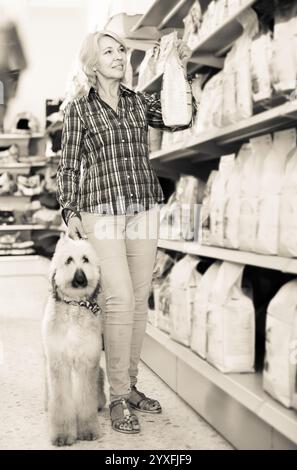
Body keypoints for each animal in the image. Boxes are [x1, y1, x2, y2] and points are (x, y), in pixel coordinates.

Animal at [41, 237, 106, 446]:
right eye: (69, 260)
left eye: (85, 259)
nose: (80, 278)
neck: (75, 306)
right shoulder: (58, 363)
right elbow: (61, 401)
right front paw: (62, 434)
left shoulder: (87, 362)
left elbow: (85, 400)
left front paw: (88, 430)